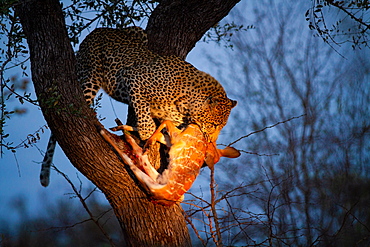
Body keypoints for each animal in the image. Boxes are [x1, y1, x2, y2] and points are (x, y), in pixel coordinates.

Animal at [39, 26, 237, 186]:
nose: (211, 141)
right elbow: (145, 117)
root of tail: (97, 30)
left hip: (138, 32)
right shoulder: (134, 79)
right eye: (213, 125)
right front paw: (146, 136)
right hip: (89, 77)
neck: (186, 104)